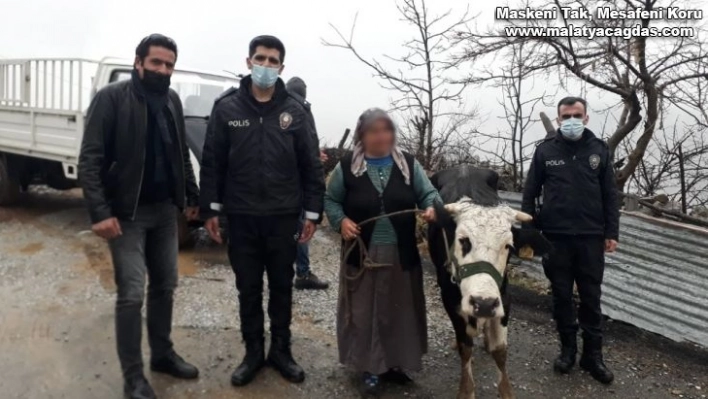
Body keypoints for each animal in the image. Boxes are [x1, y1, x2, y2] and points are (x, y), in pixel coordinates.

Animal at [428, 166, 552, 399]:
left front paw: (507, 392)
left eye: (508, 246)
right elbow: (465, 347)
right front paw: (466, 391)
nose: (483, 304)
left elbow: (500, 350)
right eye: (463, 240)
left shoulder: (504, 297)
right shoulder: (450, 300)